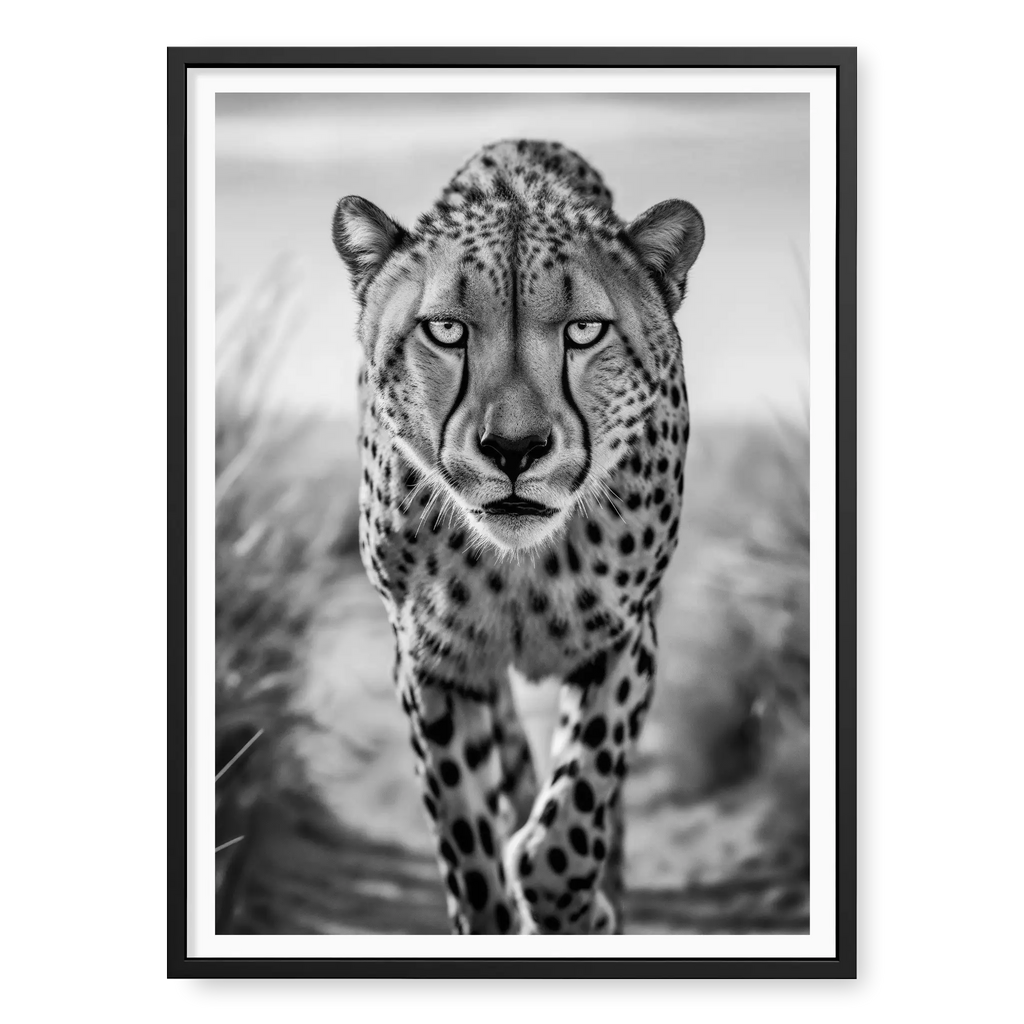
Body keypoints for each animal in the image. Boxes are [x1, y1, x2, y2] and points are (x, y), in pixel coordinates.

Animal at [332, 139, 705, 935]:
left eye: (584, 331)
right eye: (445, 329)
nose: (514, 448)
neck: (519, 562)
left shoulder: (625, 638)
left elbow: (576, 808)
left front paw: (579, 909)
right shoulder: (433, 661)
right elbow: (467, 841)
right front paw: (501, 908)